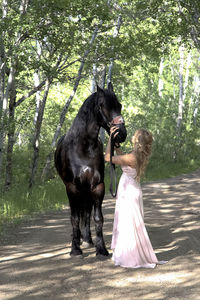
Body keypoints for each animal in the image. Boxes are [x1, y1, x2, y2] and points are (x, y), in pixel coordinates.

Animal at [54, 83, 126, 256]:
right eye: (102, 105)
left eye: (119, 105)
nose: (121, 134)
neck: (83, 148)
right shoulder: (72, 187)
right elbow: (74, 218)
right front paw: (75, 249)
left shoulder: (98, 186)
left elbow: (97, 218)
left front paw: (101, 249)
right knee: (80, 212)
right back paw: (80, 240)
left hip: (87, 189)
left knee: (86, 212)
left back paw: (87, 239)